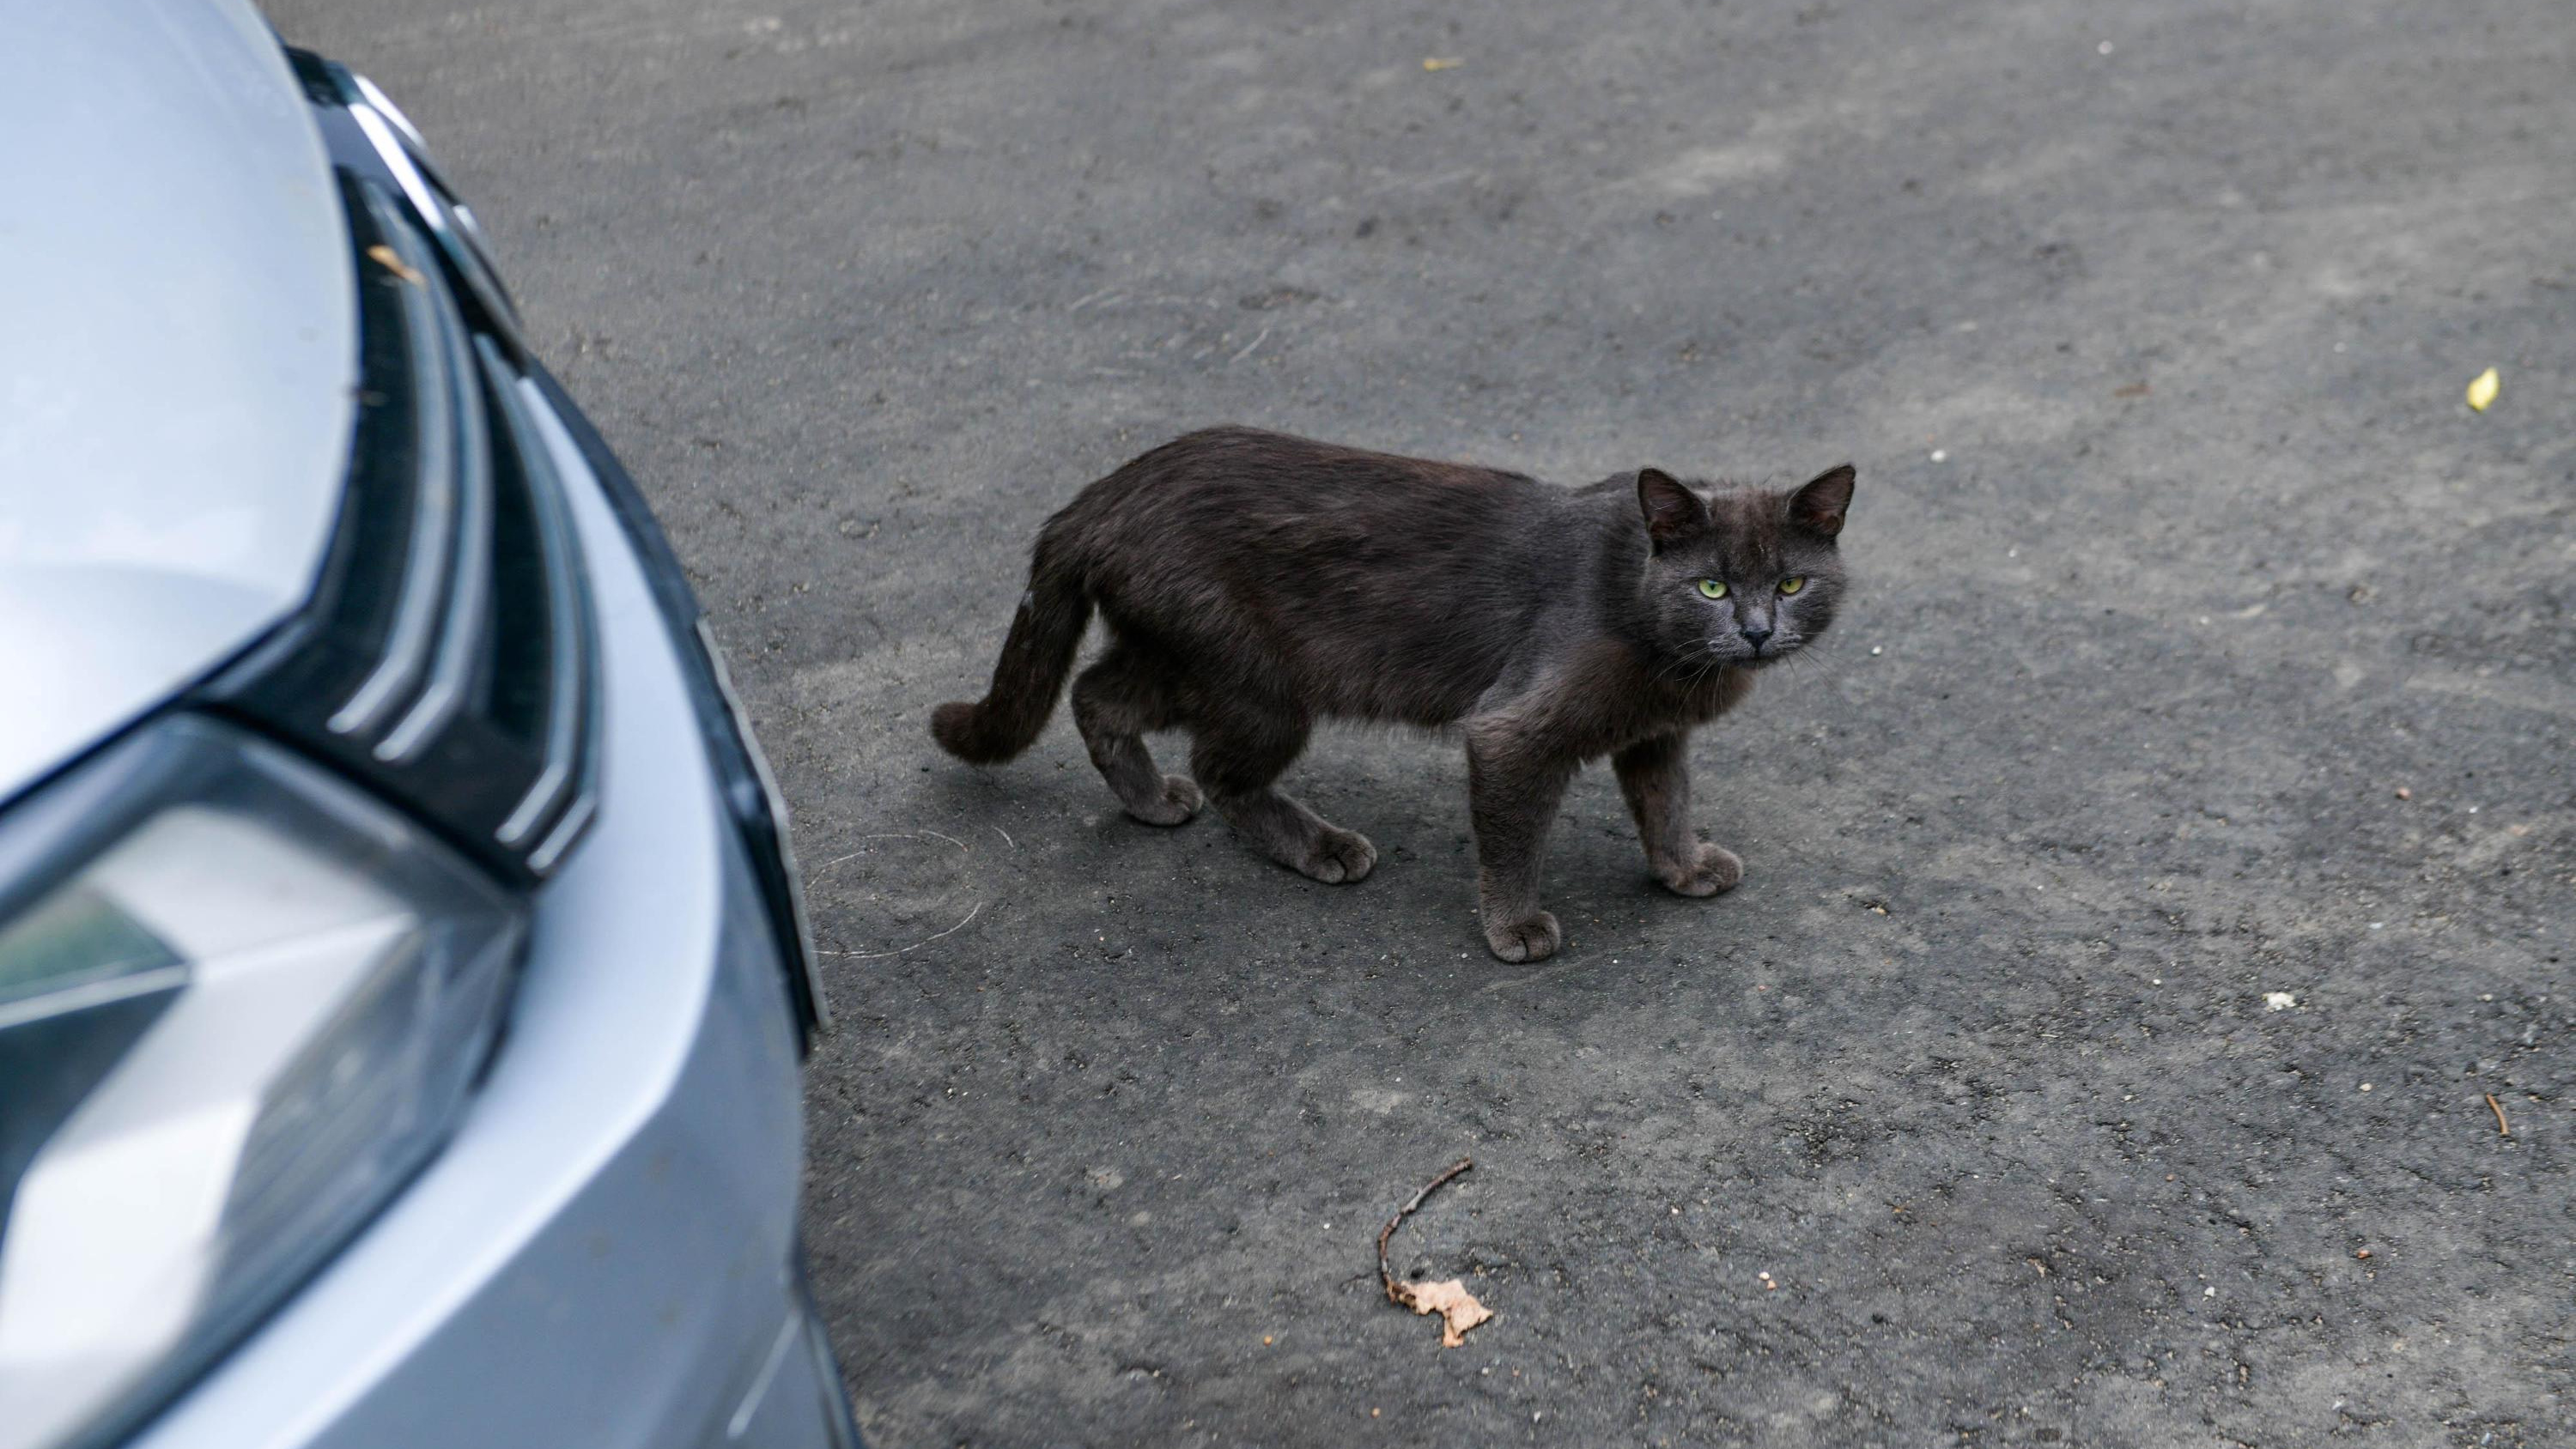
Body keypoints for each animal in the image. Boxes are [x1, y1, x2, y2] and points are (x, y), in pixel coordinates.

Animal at [938, 424, 1865, 957]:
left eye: (1790, 584)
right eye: (1711, 586)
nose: (1755, 629)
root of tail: (1095, 498)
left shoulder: (1651, 727)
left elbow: (1666, 798)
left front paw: (1685, 867)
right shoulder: (1514, 727)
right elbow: (1513, 838)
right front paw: (1514, 929)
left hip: (1183, 655)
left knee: (1098, 692)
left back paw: (1148, 799)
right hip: (1255, 677)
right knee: (1215, 766)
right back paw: (1319, 846)